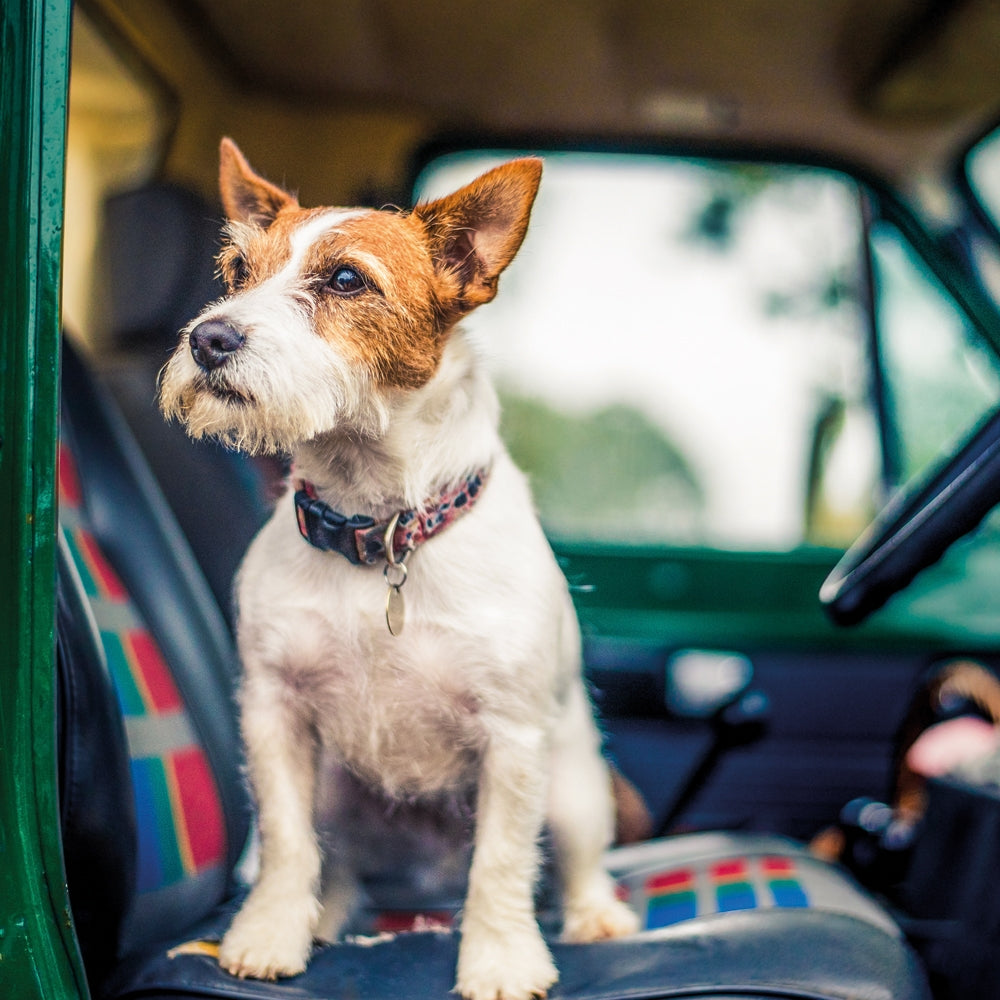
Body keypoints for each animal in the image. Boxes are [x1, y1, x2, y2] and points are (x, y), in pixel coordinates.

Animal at [159, 139, 636, 1000]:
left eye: (347, 280)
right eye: (237, 271)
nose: (208, 338)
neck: (376, 527)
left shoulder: (513, 740)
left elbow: (503, 862)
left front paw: (500, 959)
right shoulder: (275, 713)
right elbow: (286, 844)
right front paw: (269, 934)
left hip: (577, 786)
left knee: (576, 860)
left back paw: (596, 916)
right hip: (337, 791)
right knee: (336, 861)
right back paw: (324, 916)